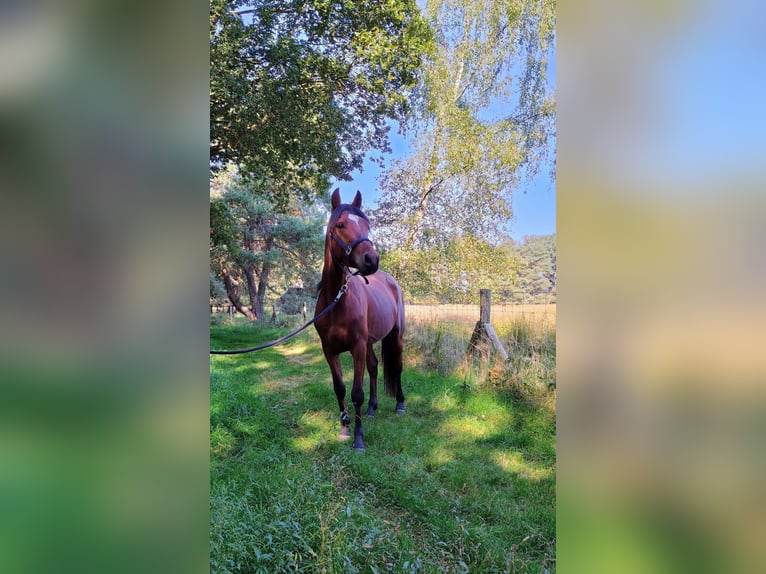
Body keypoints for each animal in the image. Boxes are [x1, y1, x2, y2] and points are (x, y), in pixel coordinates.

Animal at [314, 188, 405, 451]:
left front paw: (358, 439)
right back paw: (372, 409)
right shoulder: (329, 350)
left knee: (398, 367)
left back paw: (400, 404)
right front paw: (344, 427)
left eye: (366, 225)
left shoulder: (357, 347)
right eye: (341, 224)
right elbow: (340, 388)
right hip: (369, 342)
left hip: (394, 336)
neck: (337, 301)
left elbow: (356, 393)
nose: (371, 259)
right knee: (374, 367)